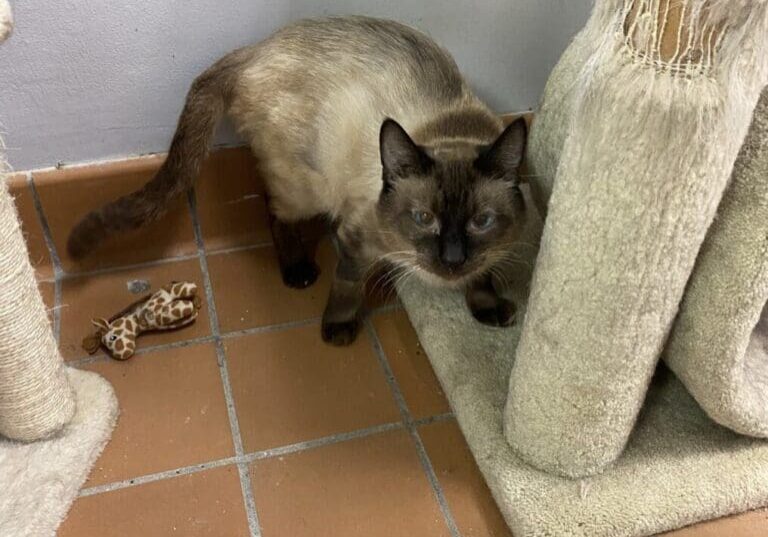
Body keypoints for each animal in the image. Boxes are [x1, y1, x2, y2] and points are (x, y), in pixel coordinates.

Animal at [67, 16, 528, 346]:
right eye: (423, 218)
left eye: (482, 222)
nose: (452, 259)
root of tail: (256, 48)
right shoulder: (357, 239)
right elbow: (348, 285)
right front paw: (339, 329)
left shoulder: (494, 250)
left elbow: (485, 276)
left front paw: (488, 308)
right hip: (307, 188)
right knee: (273, 212)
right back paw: (297, 270)